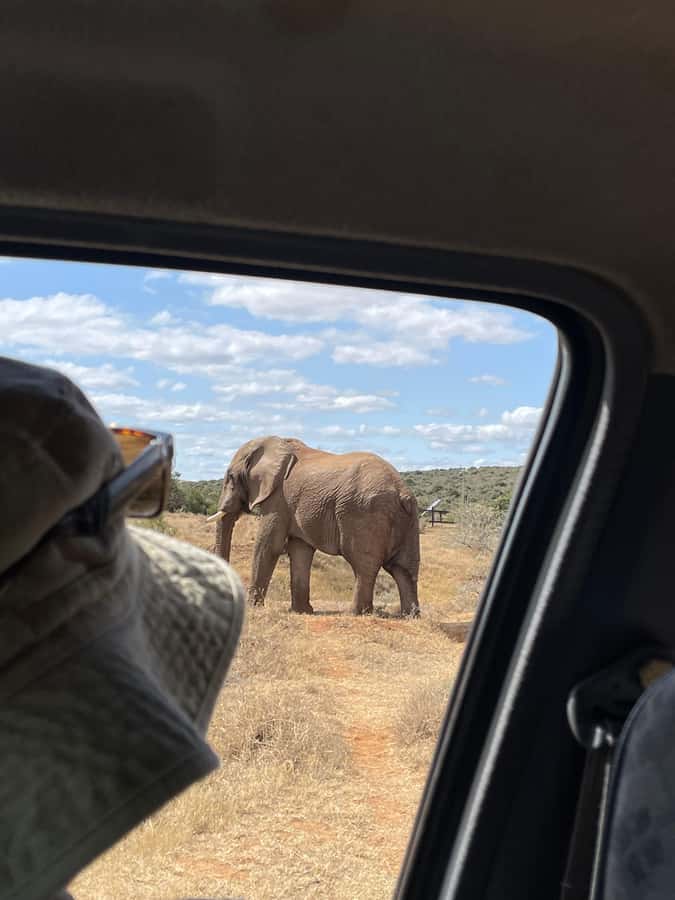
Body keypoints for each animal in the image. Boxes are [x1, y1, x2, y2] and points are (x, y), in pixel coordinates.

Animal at [208, 436, 420, 617]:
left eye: (230, 477)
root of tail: (402, 492)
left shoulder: (279, 499)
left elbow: (269, 545)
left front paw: (252, 607)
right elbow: (300, 550)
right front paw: (302, 611)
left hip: (363, 513)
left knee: (364, 566)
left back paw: (355, 613)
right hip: (408, 520)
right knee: (404, 568)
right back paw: (410, 616)